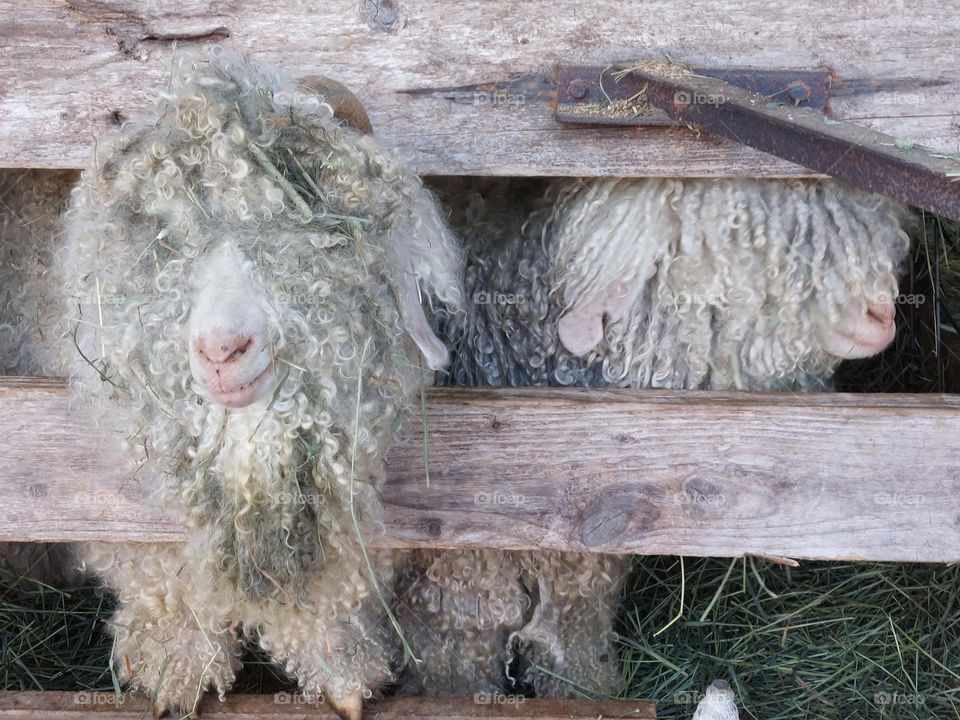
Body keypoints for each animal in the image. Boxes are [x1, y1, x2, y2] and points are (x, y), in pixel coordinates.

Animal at [3, 53, 462, 719]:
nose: (222, 351)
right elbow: (155, 567)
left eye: (294, 224)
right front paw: (176, 665)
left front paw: (341, 667)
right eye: (165, 239)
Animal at [395, 176, 910, 698]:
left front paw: (586, 689)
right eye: (739, 239)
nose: (881, 314)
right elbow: (459, 631)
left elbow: (572, 626)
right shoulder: (453, 555)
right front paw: (455, 695)